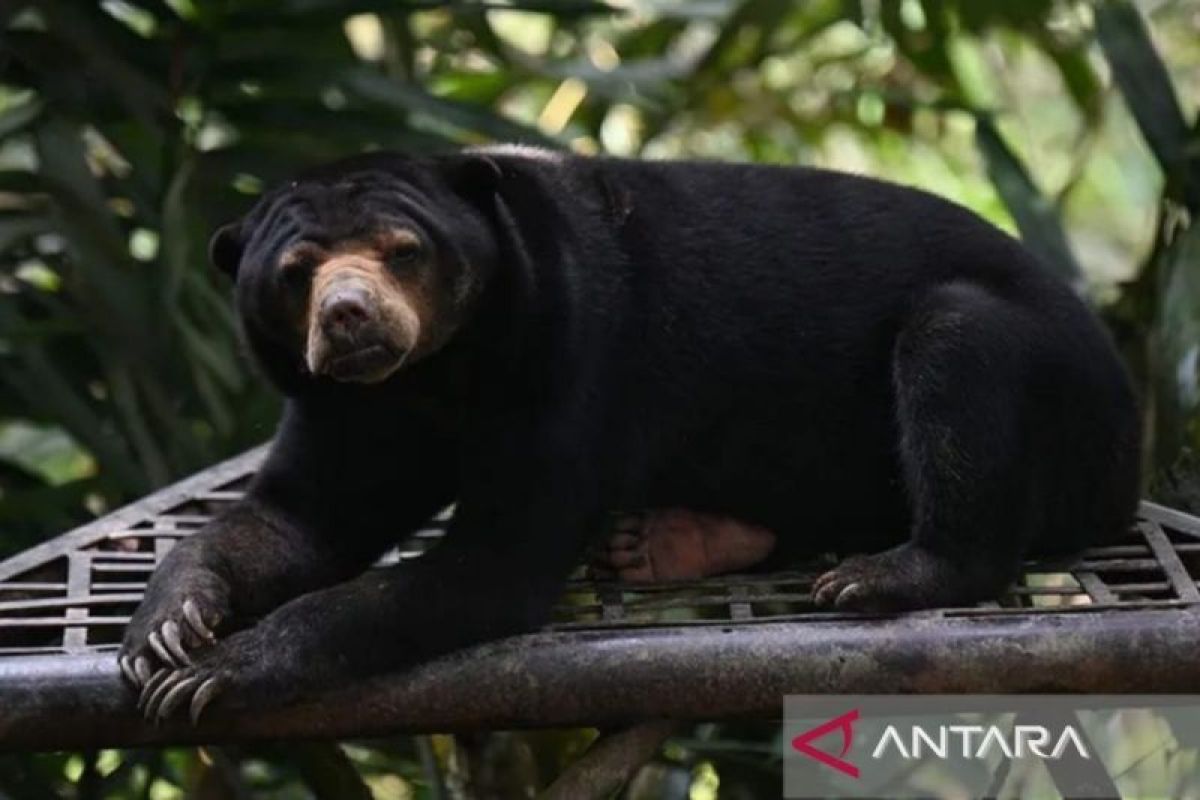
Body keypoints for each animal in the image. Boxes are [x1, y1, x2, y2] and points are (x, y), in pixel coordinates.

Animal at [121, 146, 1142, 724]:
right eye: (295, 272)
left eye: (404, 253)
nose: (349, 319)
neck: (432, 379)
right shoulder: (347, 407)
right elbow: (297, 518)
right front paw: (168, 631)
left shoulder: (569, 355)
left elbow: (495, 563)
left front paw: (221, 673)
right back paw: (671, 541)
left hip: (1049, 384)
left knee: (955, 345)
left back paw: (881, 574)